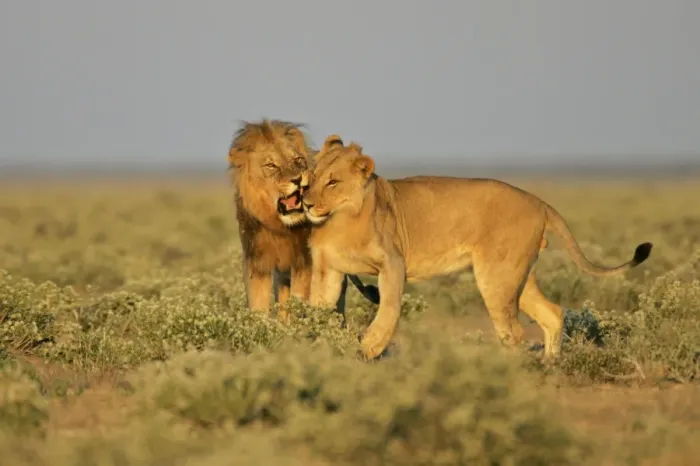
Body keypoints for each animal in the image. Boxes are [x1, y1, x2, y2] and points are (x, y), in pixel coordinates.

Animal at [227, 120, 379, 318]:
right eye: (271, 165)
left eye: (297, 160)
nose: (298, 179)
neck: (280, 227)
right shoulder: (257, 263)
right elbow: (258, 305)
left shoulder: (305, 263)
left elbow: (300, 300)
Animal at [303, 134, 653, 361]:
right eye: (311, 176)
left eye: (333, 182)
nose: (305, 201)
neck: (339, 219)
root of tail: (539, 202)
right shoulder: (328, 269)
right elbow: (318, 307)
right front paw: (309, 341)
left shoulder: (393, 262)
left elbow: (388, 308)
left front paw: (369, 348)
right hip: (515, 276)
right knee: (552, 313)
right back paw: (550, 366)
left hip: (496, 276)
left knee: (515, 333)